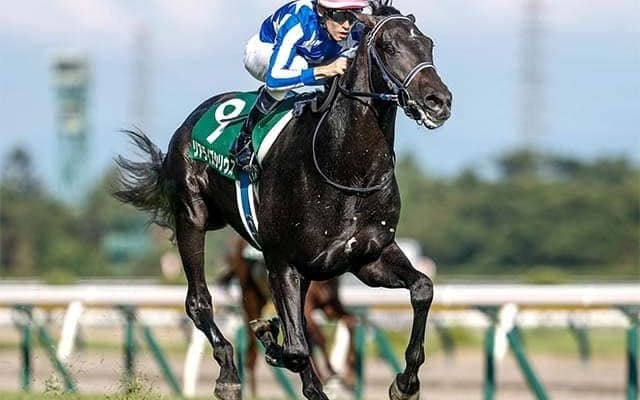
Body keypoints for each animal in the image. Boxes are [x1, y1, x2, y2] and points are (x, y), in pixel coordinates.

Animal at [220, 236, 357, 396]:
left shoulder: (329, 305)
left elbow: (350, 321)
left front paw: (350, 376)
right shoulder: (306, 308)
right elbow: (319, 337)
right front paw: (331, 373)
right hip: (251, 296)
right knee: (251, 354)